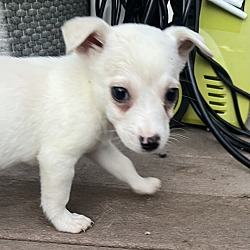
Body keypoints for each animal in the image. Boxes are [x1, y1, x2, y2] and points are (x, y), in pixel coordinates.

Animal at [0, 16, 213, 233]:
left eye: (171, 94)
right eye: (119, 93)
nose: (151, 142)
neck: (89, 91)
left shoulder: (99, 146)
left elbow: (124, 165)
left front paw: (142, 184)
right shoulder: (57, 158)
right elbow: (57, 196)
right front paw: (64, 221)